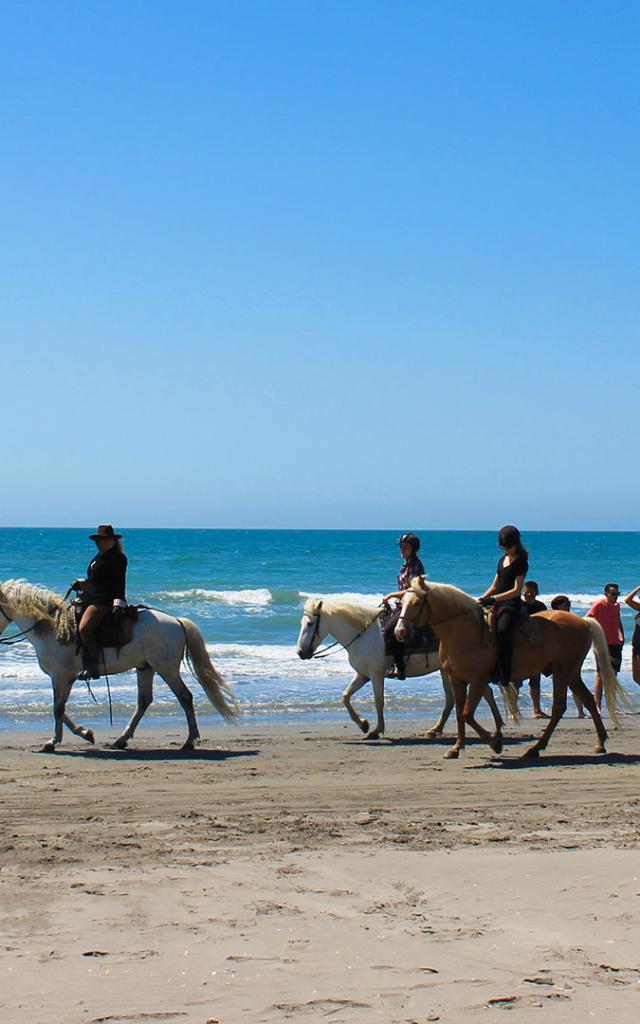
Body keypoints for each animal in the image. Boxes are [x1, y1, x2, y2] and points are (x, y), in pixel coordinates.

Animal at [0, 581, 238, 757]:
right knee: (144, 701)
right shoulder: (59, 678)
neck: (52, 627)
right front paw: (85, 733)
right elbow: (60, 708)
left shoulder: (62, 676)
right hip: (146, 668)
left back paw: (190, 741)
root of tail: (177, 621)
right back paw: (121, 739)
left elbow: (58, 708)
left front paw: (53, 741)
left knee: (185, 697)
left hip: (167, 669)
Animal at [294, 598, 503, 741]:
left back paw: (498, 728)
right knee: (465, 696)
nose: (300, 652)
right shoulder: (363, 675)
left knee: (482, 692)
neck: (363, 635)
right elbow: (345, 696)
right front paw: (363, 725)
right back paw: (437, 730)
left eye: (310, 624)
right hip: (447, 670)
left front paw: (376, 730)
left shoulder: (376, 675)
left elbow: (378, 701)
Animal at [397, 577, 626, 761]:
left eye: (416, 603)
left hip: (562, 672)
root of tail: (584, 622)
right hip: (571, 673)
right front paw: (456, 747)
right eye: (401, 603)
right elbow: (460, 714)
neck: (463, 631)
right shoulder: (456, 679)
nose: (400, 632)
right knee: (588, 700)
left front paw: (495, 743)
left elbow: (467, 714)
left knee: (559, 707)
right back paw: (600, 743)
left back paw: (536, 748)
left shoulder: (479, 679)